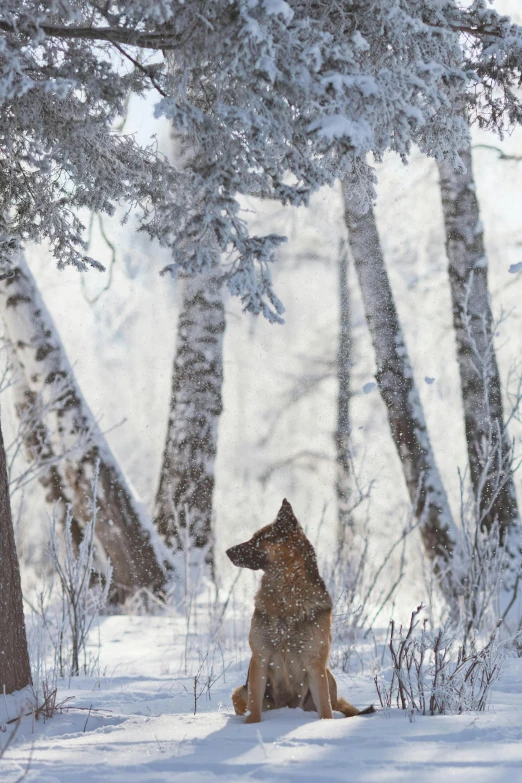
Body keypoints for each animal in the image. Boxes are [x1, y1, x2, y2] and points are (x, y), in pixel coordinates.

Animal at [225, 500, 372, 724]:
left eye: (258, 539)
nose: (227, 551)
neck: (287, 596)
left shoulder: (315, 664)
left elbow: (326, 710)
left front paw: (326, 726)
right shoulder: (260, 657)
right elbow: (254, 706)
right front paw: (251, 726)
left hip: (327, 674)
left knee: (334, 703)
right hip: (240, 691)